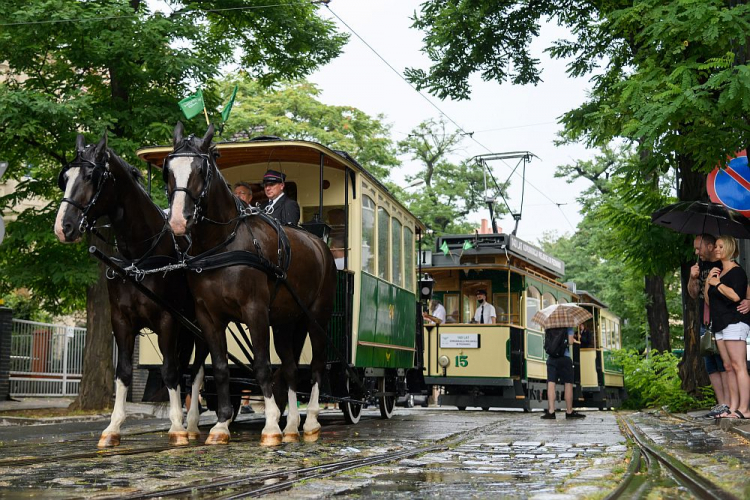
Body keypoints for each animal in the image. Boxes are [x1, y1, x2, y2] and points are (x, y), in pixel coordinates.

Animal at [53, 132, 203, 446]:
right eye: (65, 178)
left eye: (91, 176)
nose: (63, 227)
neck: (139, 256)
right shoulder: (121, 320)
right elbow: (123, 372)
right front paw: (113, 427)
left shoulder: (168, 319)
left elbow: (170, 370)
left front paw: (176, 427)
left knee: (196, 369)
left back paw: (193, 423)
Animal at [167, 124, 338, 446]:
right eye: (167, 170)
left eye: (200, 170)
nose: (178, 222)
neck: (223, 244)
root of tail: (320, 243)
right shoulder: (208, 317)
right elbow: (221, 368)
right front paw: (221, 425)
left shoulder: (255, 311)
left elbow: (261, 366)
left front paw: (270, 426)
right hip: (286, 322)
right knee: (291, 367)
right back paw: (292, 426)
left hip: (316, 317)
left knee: (317, 365)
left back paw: (310, 422)